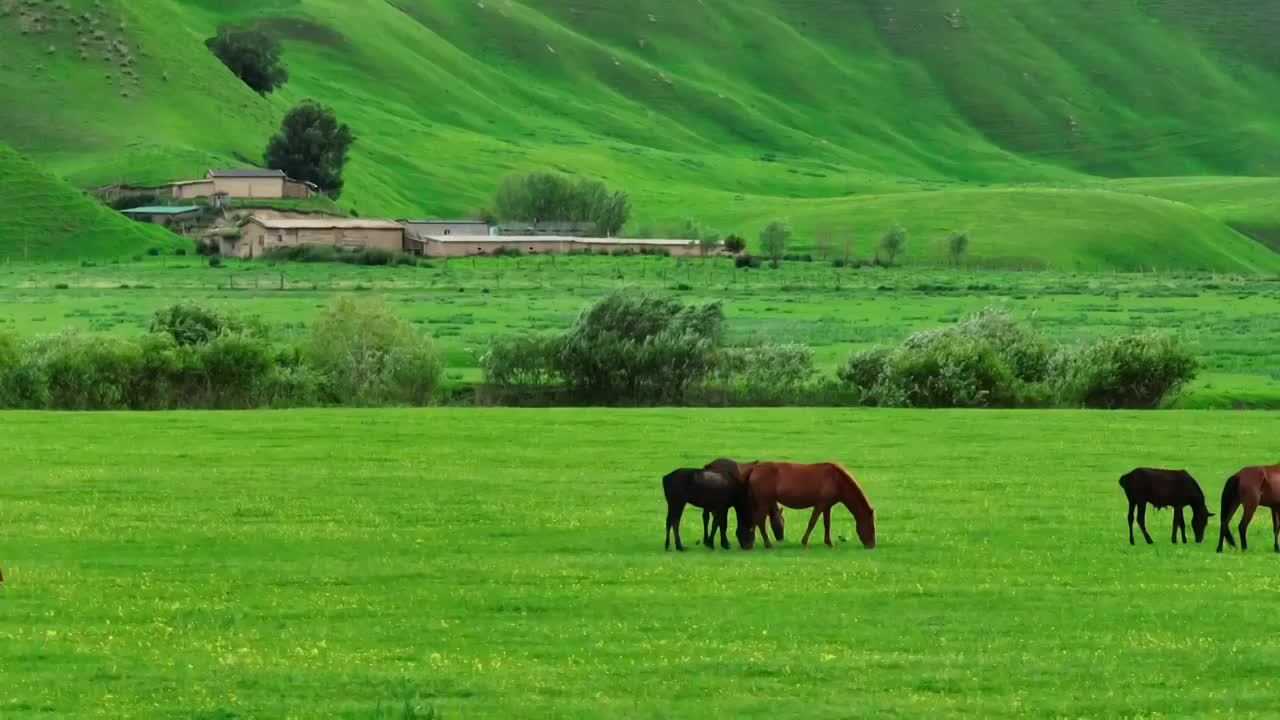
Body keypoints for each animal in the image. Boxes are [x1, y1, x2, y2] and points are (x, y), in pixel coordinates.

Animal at [742, 461, 870, 545]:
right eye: (870, 524)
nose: (871, 544)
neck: (837, 480)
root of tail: (754, 470)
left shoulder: (827, 506)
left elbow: (827, 524)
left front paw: (828, 542)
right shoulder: (820, 504)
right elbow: (812, 522)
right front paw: (804, 541)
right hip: (763, 502)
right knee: (760, 521)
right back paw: (767, 544)